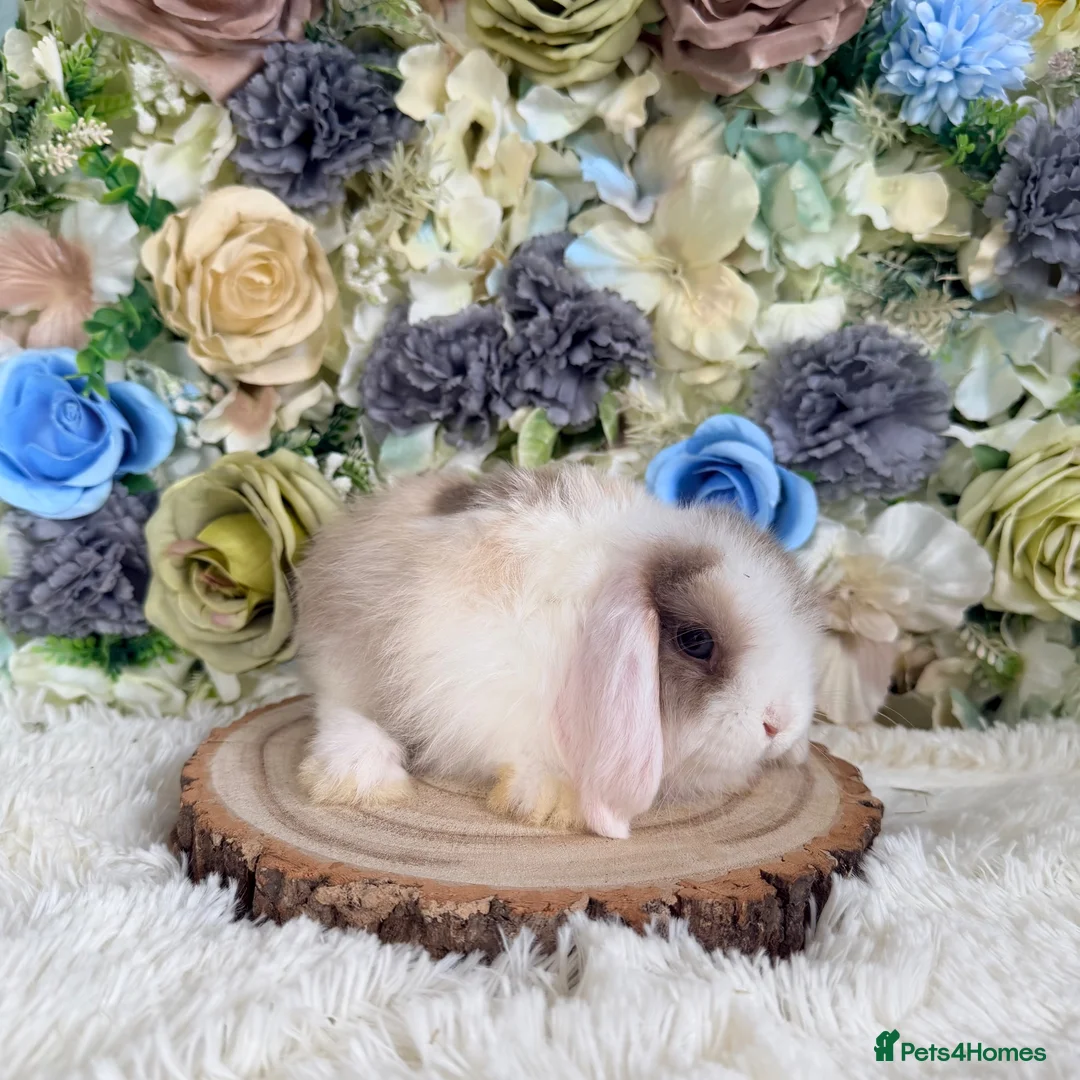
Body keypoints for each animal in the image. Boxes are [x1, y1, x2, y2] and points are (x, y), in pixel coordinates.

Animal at [293, 463, 824, 839]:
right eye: (696, 641)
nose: (780, 724)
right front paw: (553, 800)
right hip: (348, 653)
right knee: (336, 706)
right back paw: (359, 773)